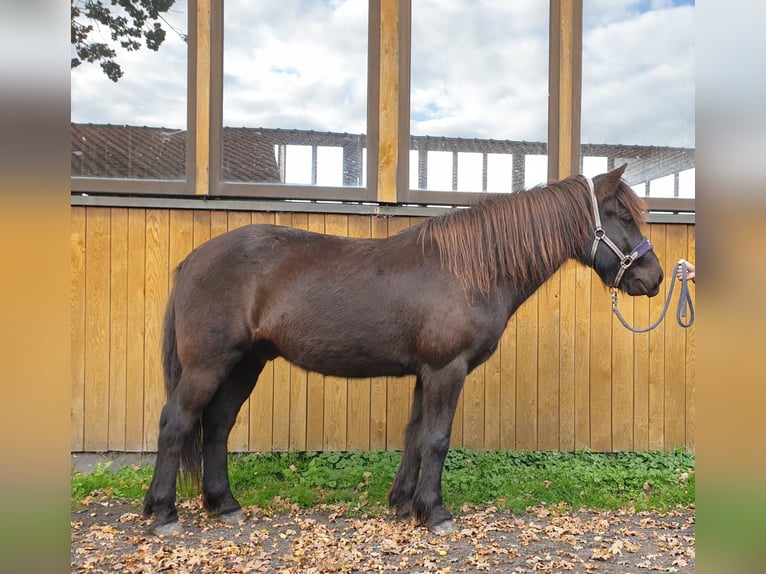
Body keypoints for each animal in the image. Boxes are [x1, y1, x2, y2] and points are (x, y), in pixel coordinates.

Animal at [144, 165, 664, 536]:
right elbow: (436, 438)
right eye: (621, 216)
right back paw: (163, 513)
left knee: (216, 426)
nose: (654, 278)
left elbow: (414, 435)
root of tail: (194, 259)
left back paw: (224, 505)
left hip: (245, 364)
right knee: (176, 421)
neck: (468, 270)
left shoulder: (425, 373)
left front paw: (402, 504)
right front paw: (435, 513)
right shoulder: (446, 370)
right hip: (208, 365)